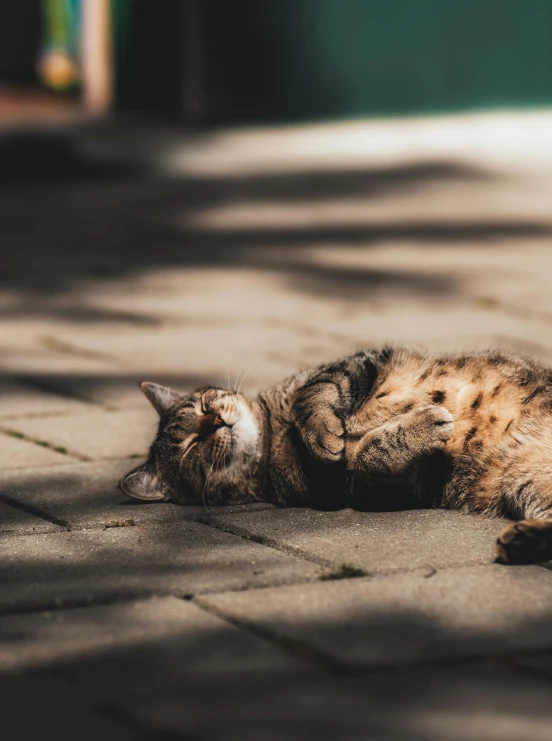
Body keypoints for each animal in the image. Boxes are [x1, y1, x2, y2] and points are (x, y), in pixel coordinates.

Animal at [121, 346, 552, 568]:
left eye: (204, 405)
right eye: (189, 446)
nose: (215, 422)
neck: (272, 433)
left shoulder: (359, 362)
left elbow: (313, 393)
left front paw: (323, 433)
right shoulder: (369, 488)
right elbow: (368, 456)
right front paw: (425, 423)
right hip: (525, 483)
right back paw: (523, 540)